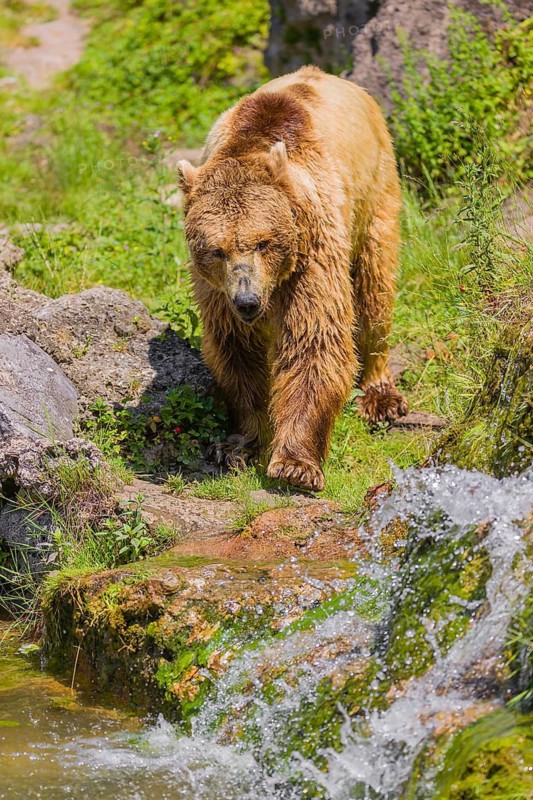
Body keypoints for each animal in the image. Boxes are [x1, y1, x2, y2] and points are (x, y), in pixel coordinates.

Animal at [177, 66, 407, 491]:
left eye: (263, 242)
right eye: (217, 250)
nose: (247, 302)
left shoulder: (311, 252)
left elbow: (314, 339)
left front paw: (295, 464)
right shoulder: (217, 292)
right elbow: (237, 351)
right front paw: (237, 444)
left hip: (375, 191)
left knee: (374, 288)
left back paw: (381, 395)